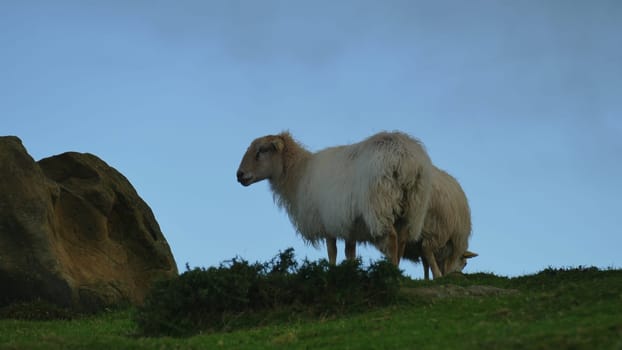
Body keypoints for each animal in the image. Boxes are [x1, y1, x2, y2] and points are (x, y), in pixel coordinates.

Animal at [236, 131, 436, 266]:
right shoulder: (349, 223)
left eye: (262, 150)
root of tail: (405, 157)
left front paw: (331, 270)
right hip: (413, 207)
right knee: (402, 239)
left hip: (380, 203)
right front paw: (350, 270)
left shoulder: (326, 220)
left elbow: (332, 251)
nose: (239, 175)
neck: (299, 171)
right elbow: (350, 252)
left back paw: (391, 270)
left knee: (392, 238)